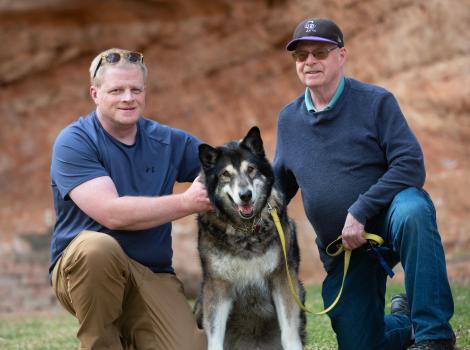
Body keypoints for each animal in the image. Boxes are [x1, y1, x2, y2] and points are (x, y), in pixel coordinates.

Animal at [193, 126, 306, 350]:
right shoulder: (217, 286)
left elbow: (289, 333)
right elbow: (215, 337)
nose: (245, 195)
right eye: (226, 174)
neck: (245, 231)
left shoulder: (282, 278)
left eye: (251, 169)